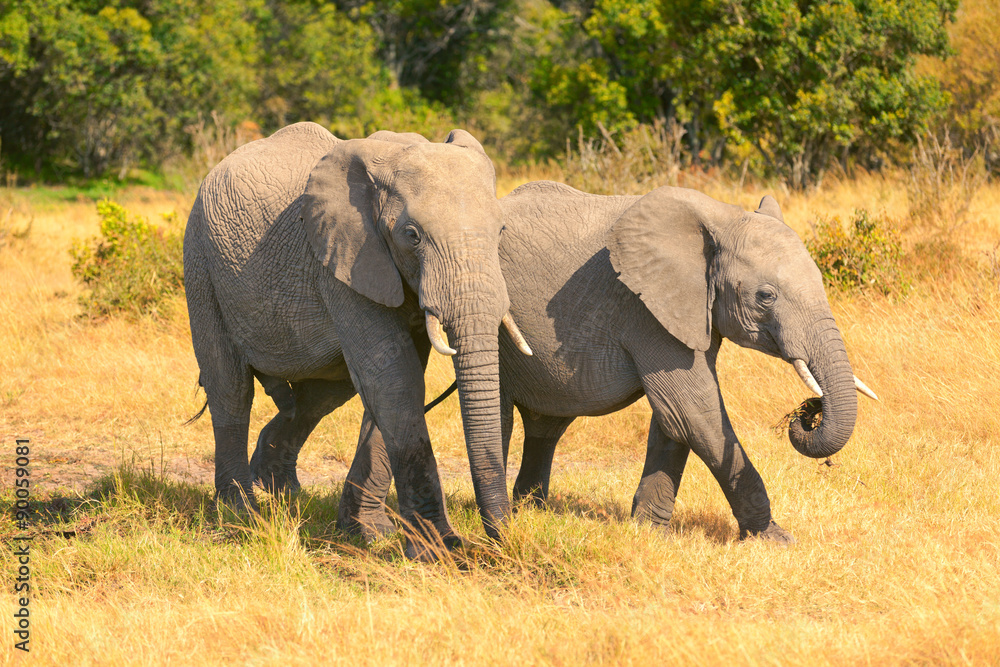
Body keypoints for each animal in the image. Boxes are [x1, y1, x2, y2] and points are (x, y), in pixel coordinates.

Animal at [183, 121, 531, 557]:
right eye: (412, 236)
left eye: (501, 230)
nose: (501, 541)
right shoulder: (344, 259)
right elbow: (394, 378)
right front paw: (439, 551)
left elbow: (396, 383)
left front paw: (369, 533)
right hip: (201, 264)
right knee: (230, 388)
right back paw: (242, 515)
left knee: (323, 395)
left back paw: (279, 490)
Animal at [328, 180, 877, 543]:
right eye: (766, 296)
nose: (807, 412)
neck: (719, 218)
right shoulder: (643, 306)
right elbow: (692, 408)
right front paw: (775, 540)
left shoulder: (688, 310)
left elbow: (674, 419)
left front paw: (648, 535)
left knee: (545, 423)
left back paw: (532, 510)